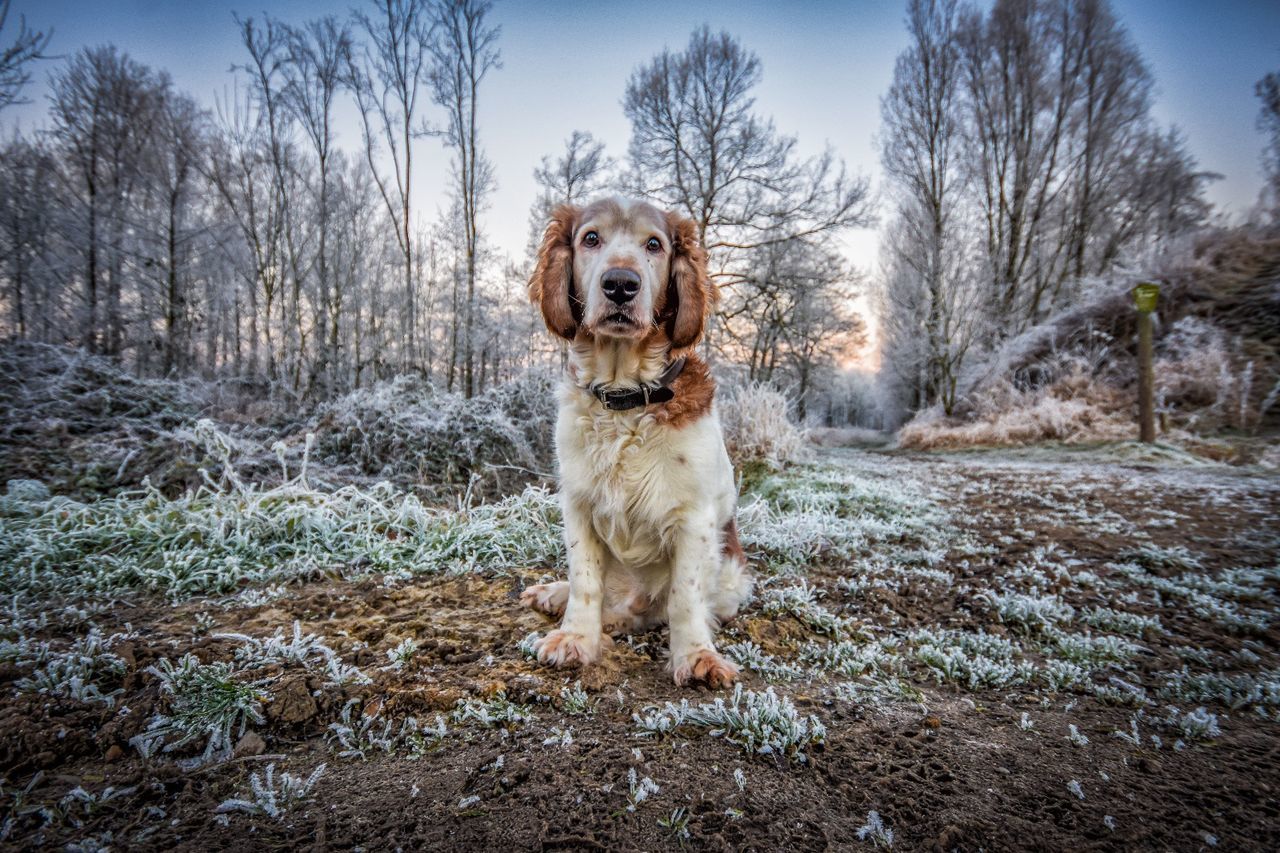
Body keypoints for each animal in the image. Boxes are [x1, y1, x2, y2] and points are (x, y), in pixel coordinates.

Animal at [519, 194, 747, 686]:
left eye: (654, 244)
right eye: (590, 238)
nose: (620, 284)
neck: (624, 395)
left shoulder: (694, 519)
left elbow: (684, 596)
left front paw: (695, 656)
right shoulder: (579, 504)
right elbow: (585, 579)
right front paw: (575, 638)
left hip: (732, 577)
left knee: (651, 608)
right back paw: (555, 594)